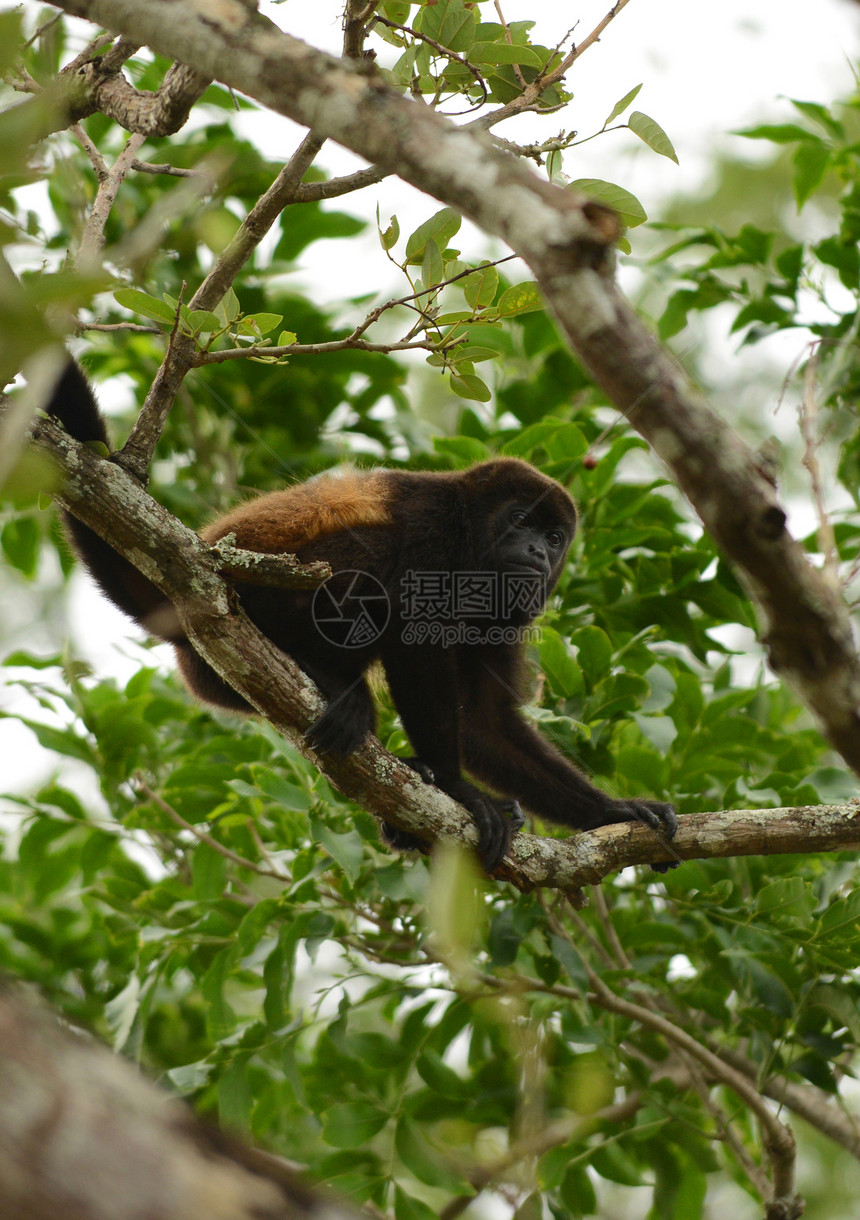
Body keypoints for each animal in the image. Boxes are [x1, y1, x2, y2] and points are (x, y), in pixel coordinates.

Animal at [42, 356, 678, 873]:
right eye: (520, 520)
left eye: (553, 535)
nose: (539, 552)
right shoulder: (433, 533)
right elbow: (415, 644)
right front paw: (462, 792)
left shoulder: (512, 613)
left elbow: (485, 720)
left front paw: (613, 811)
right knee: (372, 560)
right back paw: (328, 681)